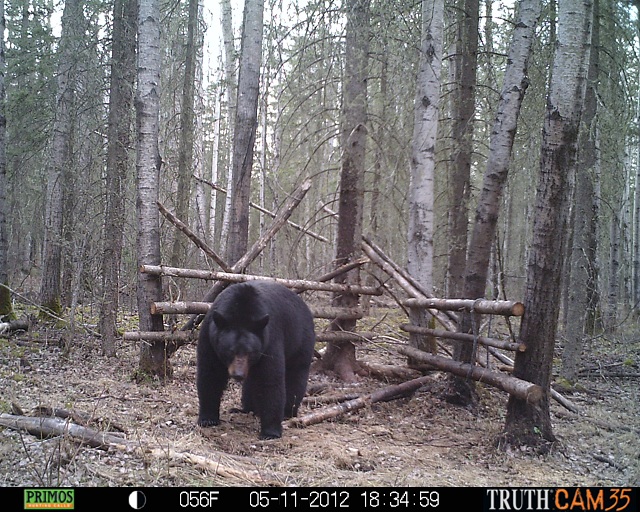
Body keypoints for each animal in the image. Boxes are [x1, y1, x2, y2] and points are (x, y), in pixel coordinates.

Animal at [195, 280, 316, 440]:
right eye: (230, 351)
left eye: (249, 352)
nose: (238, 374)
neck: (241, 311)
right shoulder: (209, 337)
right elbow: (210, 373)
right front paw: (207, 419)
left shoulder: (269, 341)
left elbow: (270, 379)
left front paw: (270, 431)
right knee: (251, 383)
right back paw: (245, 409)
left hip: (300, 340)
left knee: (296, 376)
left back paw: (288, 412)